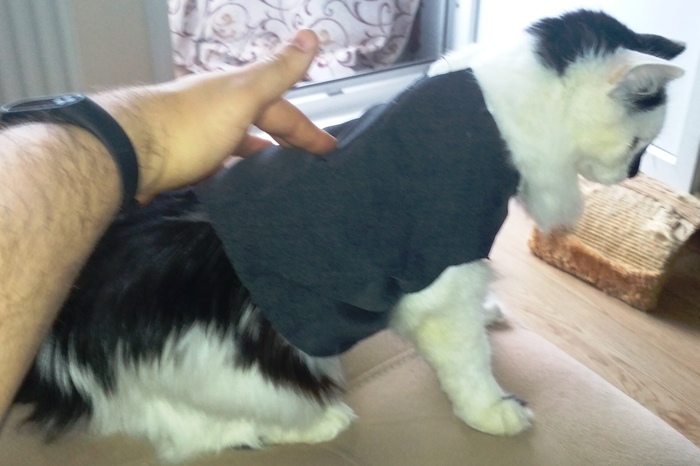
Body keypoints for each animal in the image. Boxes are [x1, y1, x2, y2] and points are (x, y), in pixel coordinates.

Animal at [15, 9, 685, 462]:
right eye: (637, 143)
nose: (636, 174)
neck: (487, 110)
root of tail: (58, 349)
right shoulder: (443, 276)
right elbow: (469, 363)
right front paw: (494, 412)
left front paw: (494, 314)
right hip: (237, 370)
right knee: (193, 431)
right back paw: (324, 422)